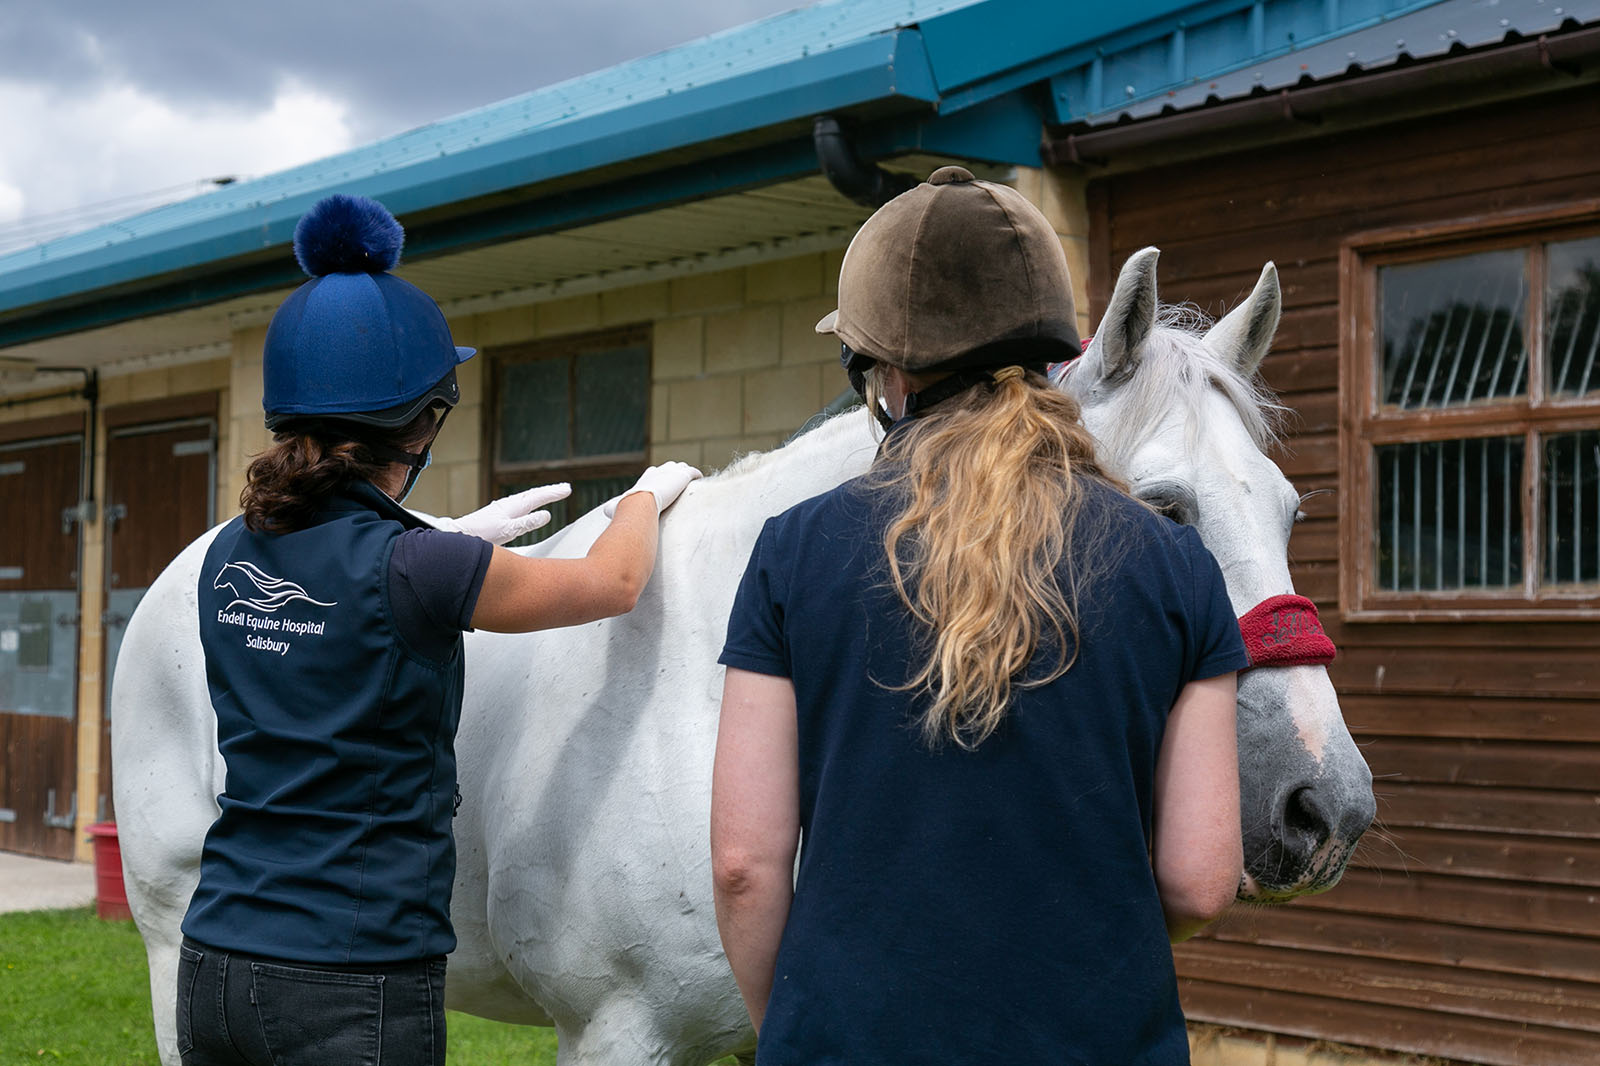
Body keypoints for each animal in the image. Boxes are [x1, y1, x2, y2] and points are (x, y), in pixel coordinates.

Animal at [118, 244, 1376, 1056]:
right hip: (174, 949)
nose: (1329, 807)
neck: (718, 698)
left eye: (1287, 510)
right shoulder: (619, 1033)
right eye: (1166, 510)